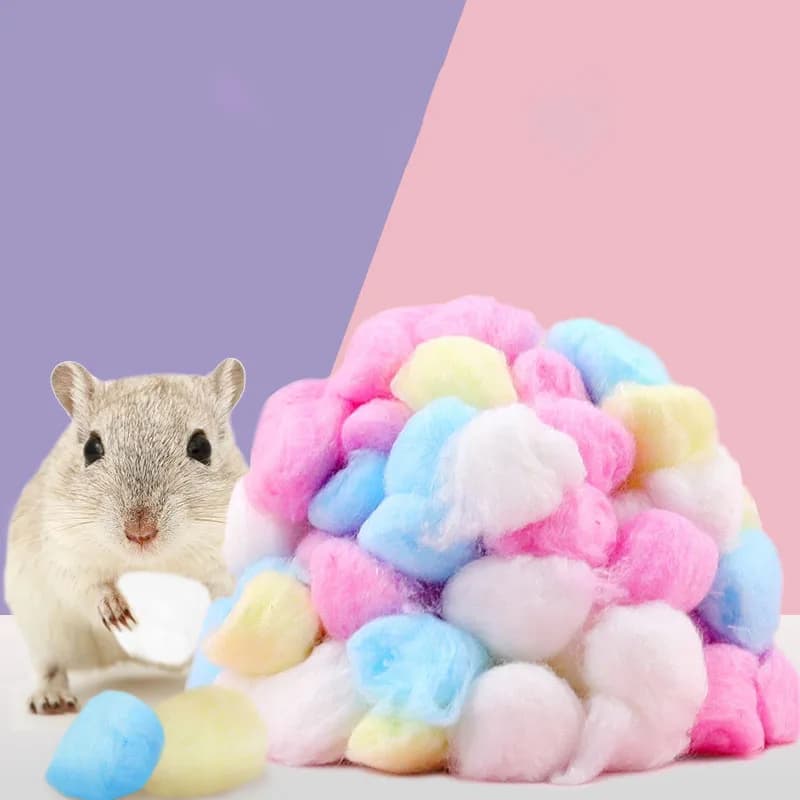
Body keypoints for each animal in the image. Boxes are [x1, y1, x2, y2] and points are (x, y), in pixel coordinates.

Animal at [4, 359, 247, 714]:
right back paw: (52, 700)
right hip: (42, 631)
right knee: (51, 667)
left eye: (201, 447)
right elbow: (87, 587)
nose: (140, 532)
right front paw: (117, 612)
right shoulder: (64, 551)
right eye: (91, 448)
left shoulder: (226, 564)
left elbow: (218, 593)